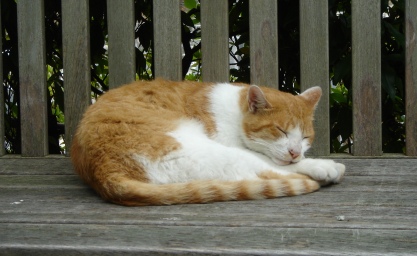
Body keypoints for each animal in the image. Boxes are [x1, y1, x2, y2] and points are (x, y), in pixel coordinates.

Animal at [71, 78, 344, 206]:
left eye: (305, 137)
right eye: (280, 131)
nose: (296, 152)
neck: (236, 110)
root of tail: (104, 173)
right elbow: (277, 163)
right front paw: (318, 164)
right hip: (205, 149)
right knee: (266, 171)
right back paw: (325, 170)